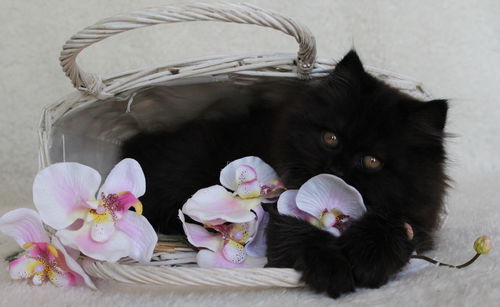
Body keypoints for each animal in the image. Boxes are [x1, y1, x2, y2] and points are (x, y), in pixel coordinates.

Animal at [122, 51, 450, 298]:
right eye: (330, 138)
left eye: (371, 161)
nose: (336, 170)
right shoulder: (274, 208)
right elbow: (298, 232)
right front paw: (334, 270)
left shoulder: (416, 221)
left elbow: (392, 226)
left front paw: (368, 261)